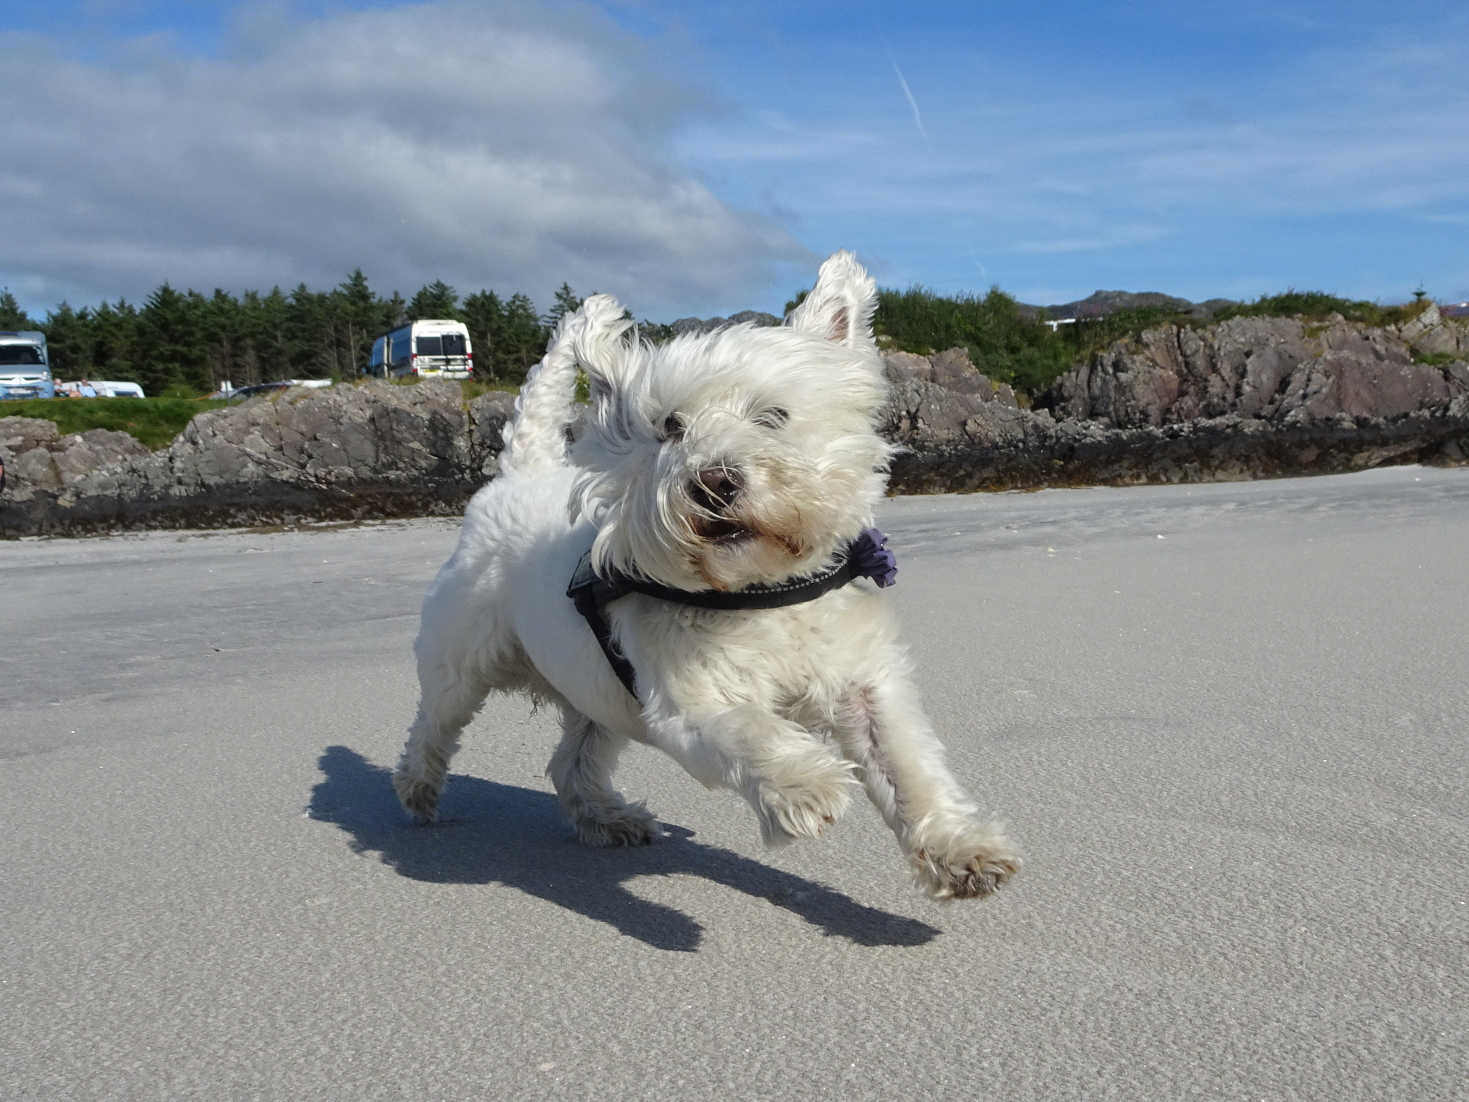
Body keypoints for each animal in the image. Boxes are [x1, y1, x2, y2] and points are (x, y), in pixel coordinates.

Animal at [393, 249, 1022, 899]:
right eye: (671, 425)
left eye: (774, 416)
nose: (714, 482)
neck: (761, 590)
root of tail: (520, 475)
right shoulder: (688, 699)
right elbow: (751, 729)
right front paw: (809, 785)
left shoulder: (861, 683)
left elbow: (908, 765)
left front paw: (962, 851)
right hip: (461, 657)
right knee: (433, 724)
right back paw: (417, 793)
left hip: (595, 691)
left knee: (572, 760)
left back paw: (608, 819)